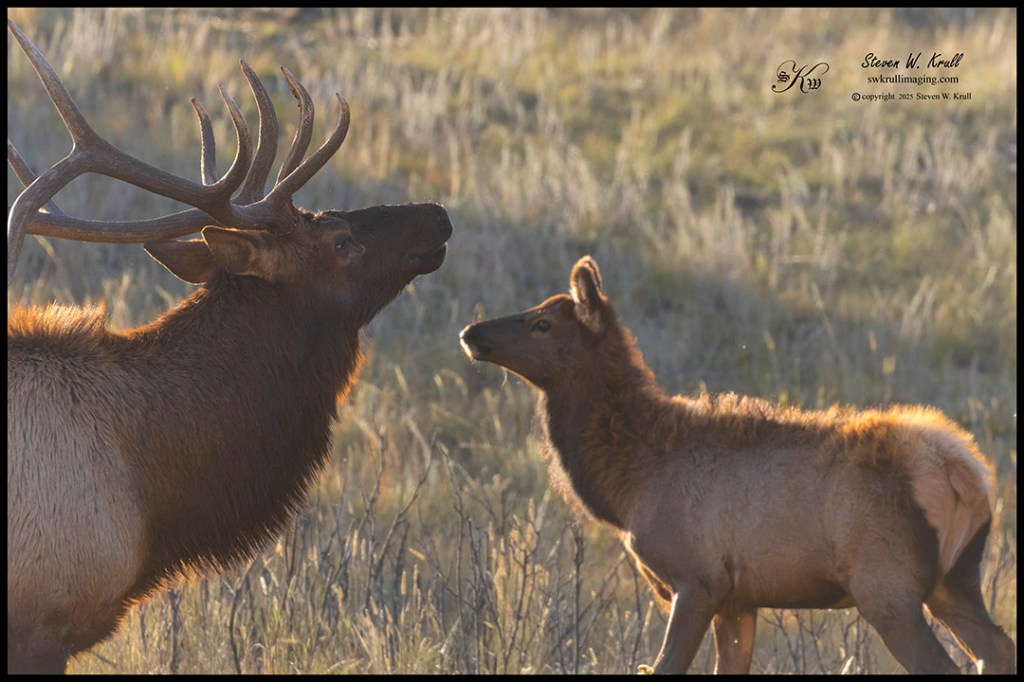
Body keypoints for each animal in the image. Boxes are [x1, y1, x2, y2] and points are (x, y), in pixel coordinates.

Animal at [459, 256, 1016, 674]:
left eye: (542, 323)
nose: (472, 331)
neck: (627, 485)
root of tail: (966, 473)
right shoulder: (739, 597)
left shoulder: (697, 577)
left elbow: (663, 666)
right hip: (955, 578)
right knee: (997, 649)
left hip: (888, 585)